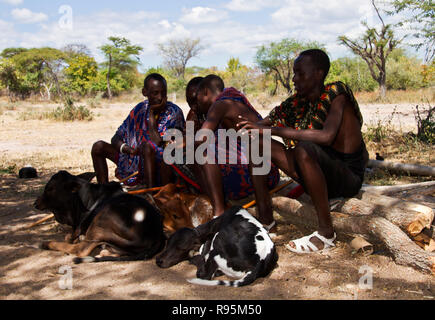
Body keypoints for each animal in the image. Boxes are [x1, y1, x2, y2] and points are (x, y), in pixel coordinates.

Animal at [34, 170, 165, 262]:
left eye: (50, 188)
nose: (35, 203)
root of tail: (158, 236)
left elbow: (71, 238)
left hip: (100, 221)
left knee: (80, 250)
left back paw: (47, 244)